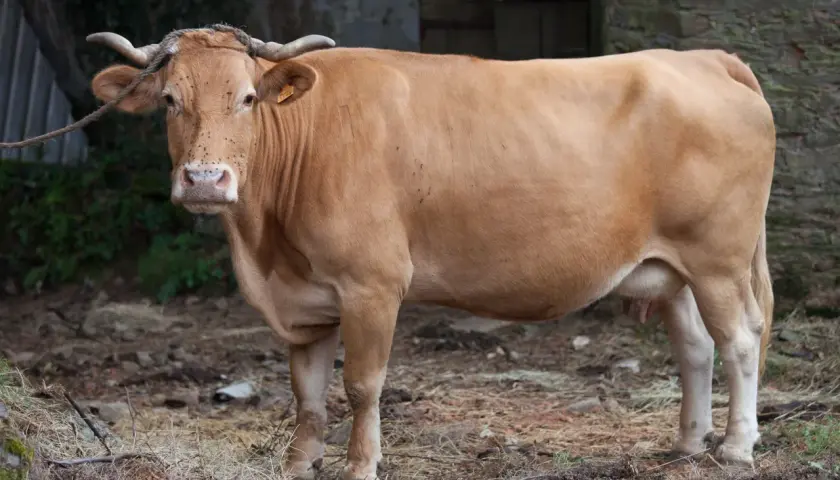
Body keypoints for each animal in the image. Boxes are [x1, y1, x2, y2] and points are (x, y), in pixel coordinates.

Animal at [87, 26, 775, 480]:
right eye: (170, 100)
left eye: (247, 99)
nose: (205, 180)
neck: (265, 246)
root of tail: (704, 58)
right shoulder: (305, 298)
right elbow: (307, 390)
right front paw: (299, 461)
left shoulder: (372, 283)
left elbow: (362, 384)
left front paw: (361, 464)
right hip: (671, 268)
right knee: (696, 345)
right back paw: (688, 443)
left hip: (718, 259)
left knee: (741, 338)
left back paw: (737, 446)